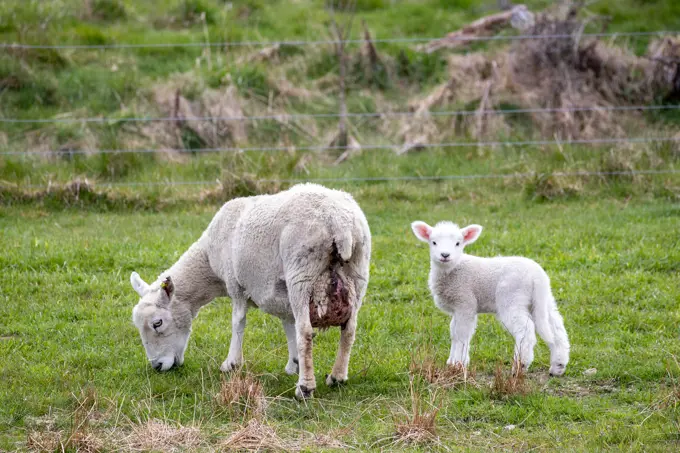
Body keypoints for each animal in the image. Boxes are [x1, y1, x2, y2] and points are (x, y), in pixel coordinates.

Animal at [127, 182, 372, 398]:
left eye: (157, 323)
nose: (157, 366)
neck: (209, 263)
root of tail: (339, 223)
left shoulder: (235, 284)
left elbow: (238, 322)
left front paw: (231, 363)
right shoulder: (281, 294)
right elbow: (288, 325)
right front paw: (293, 364)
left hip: (301, 272)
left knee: (306, 332)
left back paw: (305, 388)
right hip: (358, 272)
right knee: (349, 330)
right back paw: (337, 377)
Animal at [412, 220, 572, 374]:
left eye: (458, 243)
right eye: (433, 242)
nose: (445, 255)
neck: (453, 269)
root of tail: (537, 276)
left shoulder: (465, 303)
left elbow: (461, 334)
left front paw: (459, 364)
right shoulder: (457, 308)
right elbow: (453, 332)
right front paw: (451, 362)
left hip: (511, 298)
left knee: (525, 332)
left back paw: (520, 366)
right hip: (542, 300)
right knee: (556, 328)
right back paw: (558, 365)